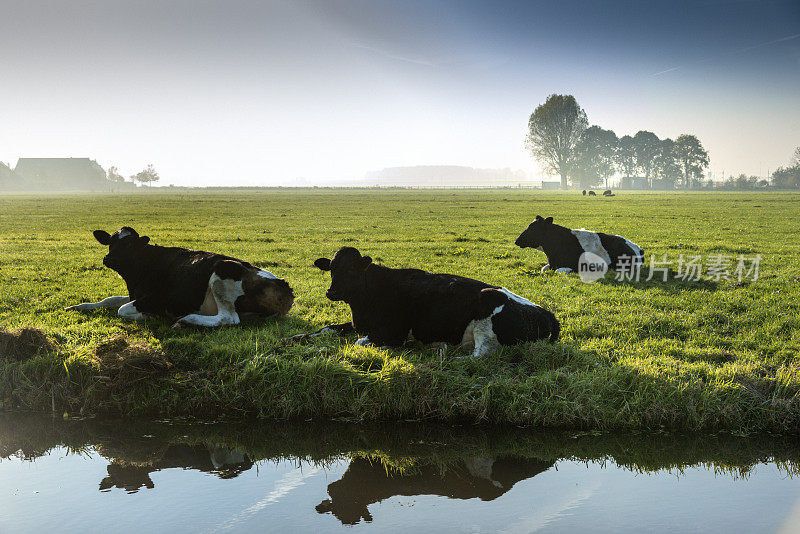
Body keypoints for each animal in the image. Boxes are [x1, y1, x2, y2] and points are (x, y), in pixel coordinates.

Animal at [64, 225, 292, 326]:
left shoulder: (160, 298)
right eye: (111, 241)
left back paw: (186, 320)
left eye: (128, 244)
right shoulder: (137, 294)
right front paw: (77, 307)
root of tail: (284, 284)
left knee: (228, 318)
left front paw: (151, 315)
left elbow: (122, 309)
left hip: (223, 269)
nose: (108, 259)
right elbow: (109, 300)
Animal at [290, 248, 560, 358]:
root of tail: (547, 313)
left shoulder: (393, 331)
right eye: (332, 269)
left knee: (481, 354)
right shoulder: (358, 324)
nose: (331, 292)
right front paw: (295, 338)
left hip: (487, 309)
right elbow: (329, 328)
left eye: (352, 270)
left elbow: (360, 342)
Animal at [516, 216, 648, 274]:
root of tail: (638, 248)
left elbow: (559, 271)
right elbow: (544, 268)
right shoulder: (552, 264)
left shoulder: (577, 266)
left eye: (532, 229)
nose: (516, 241)